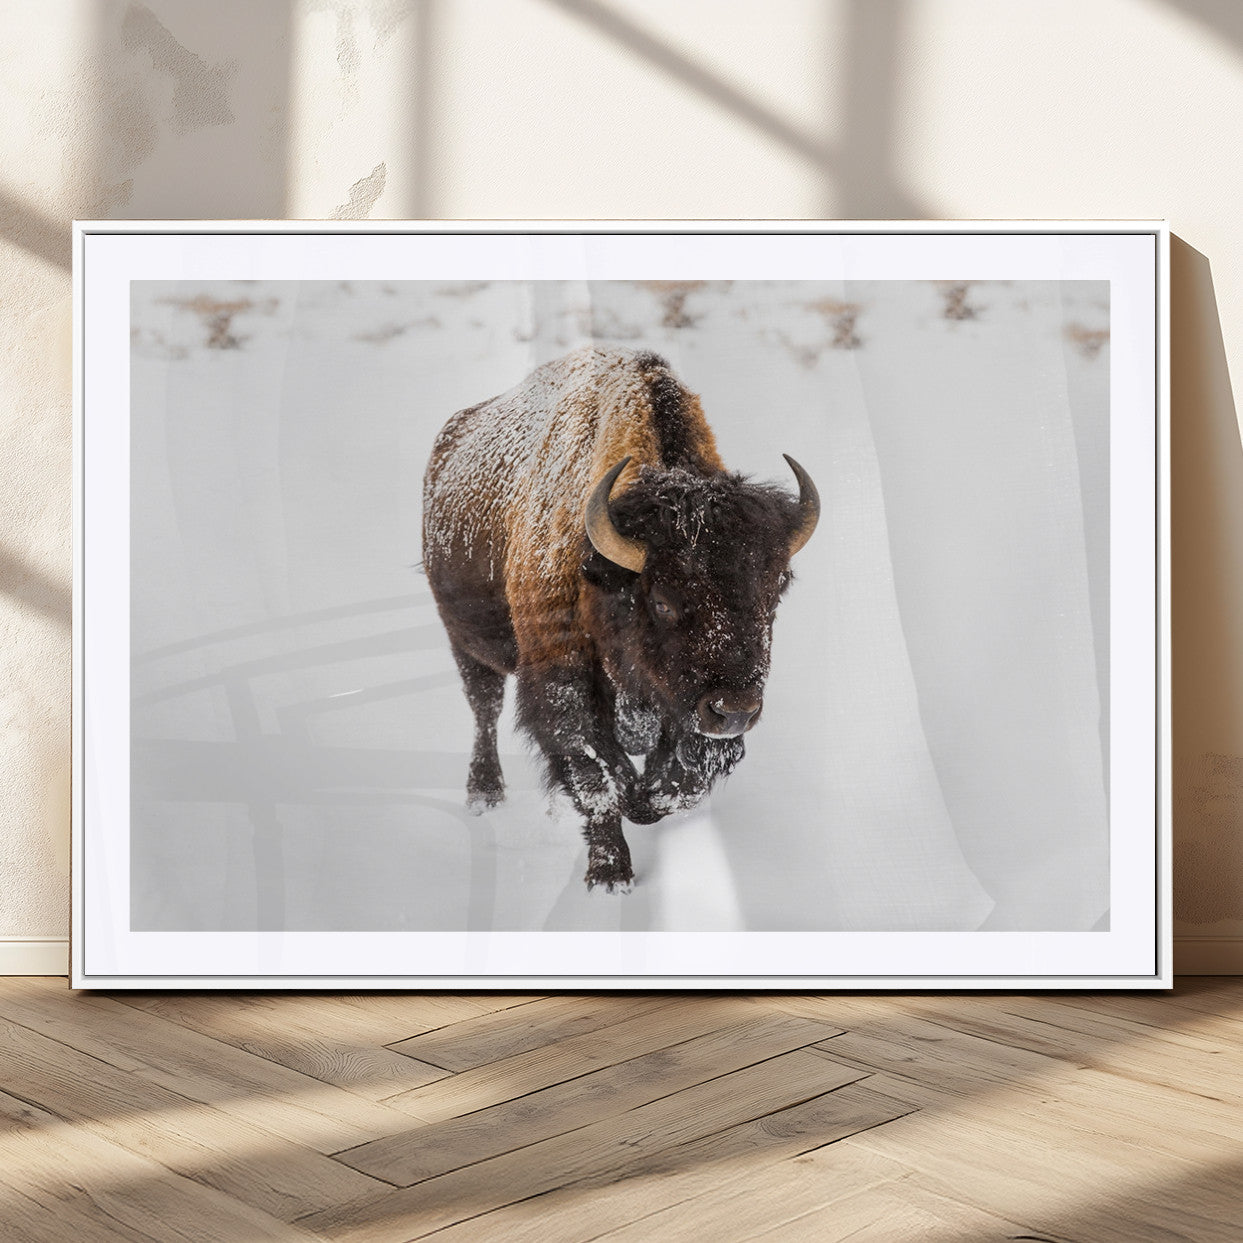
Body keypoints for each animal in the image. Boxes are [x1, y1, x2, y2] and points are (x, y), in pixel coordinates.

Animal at [423, 346, 818, 891]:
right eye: (663, 601)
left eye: (775, 592)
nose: (735, 710)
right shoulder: (562, 689)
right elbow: (598, 780)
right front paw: (610, 876)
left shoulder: (686, 713)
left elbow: (677, 782)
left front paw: (644, 800)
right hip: (466, 643)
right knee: (484, 708)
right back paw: (484, 794)